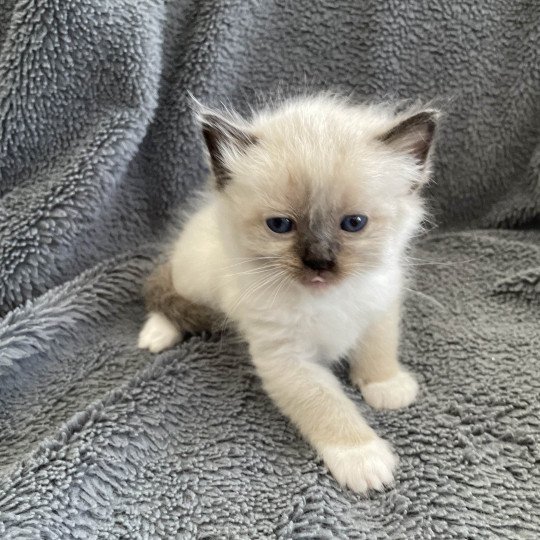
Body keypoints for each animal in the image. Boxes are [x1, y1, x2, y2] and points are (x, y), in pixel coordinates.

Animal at [139, 94, 438, 494]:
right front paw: (363, 459)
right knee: (169, 297)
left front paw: (386, 387)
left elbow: (378, 350)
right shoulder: (288, 359)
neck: (326, 301)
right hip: (194, 279)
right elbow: (327, 407)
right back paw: (155, 335)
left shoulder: (379, 307)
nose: (319, 262)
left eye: (354, 223)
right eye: (280, 225)